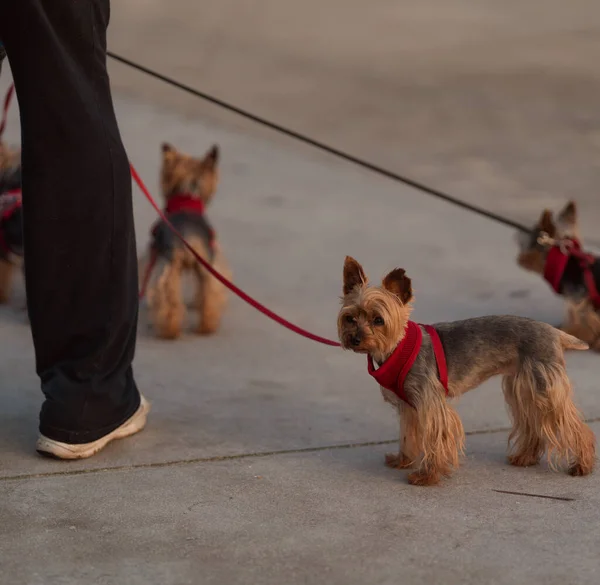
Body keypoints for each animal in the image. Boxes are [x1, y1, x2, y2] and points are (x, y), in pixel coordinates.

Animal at [139, 142, 232, 340]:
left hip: (169, 271)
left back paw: (168, 331)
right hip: (207, 270)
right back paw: (206, 327)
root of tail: (191, 238)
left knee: (170, 303)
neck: (187, 198)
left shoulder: (153, 253)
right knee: (209, 296)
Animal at [338, 256, 596, 484]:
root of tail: (554, 332)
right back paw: (525, 457)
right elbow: (408, 434)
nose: (355, 339)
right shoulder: (409, 406)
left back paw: (582, 465)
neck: (397, 347)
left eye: (378, 320)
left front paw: (426, 476)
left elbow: (435, 437)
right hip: (523, 386)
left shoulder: (430, 403)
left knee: (574, 425)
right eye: (350, 318)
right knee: (534, 422)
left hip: (542, 385)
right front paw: (404, 460)